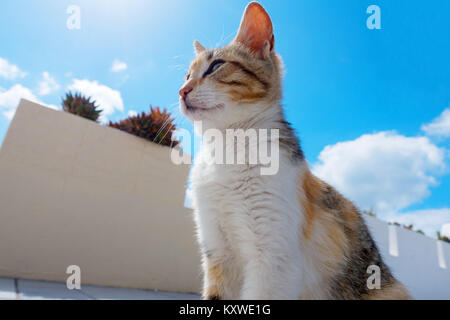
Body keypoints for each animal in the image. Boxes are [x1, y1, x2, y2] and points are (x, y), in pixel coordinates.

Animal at [179, 1, 412, 300]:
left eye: (216, 66)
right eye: (186, 75)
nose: (182, 90)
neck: (227, 147)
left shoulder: (272, 257)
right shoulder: (217, 250)